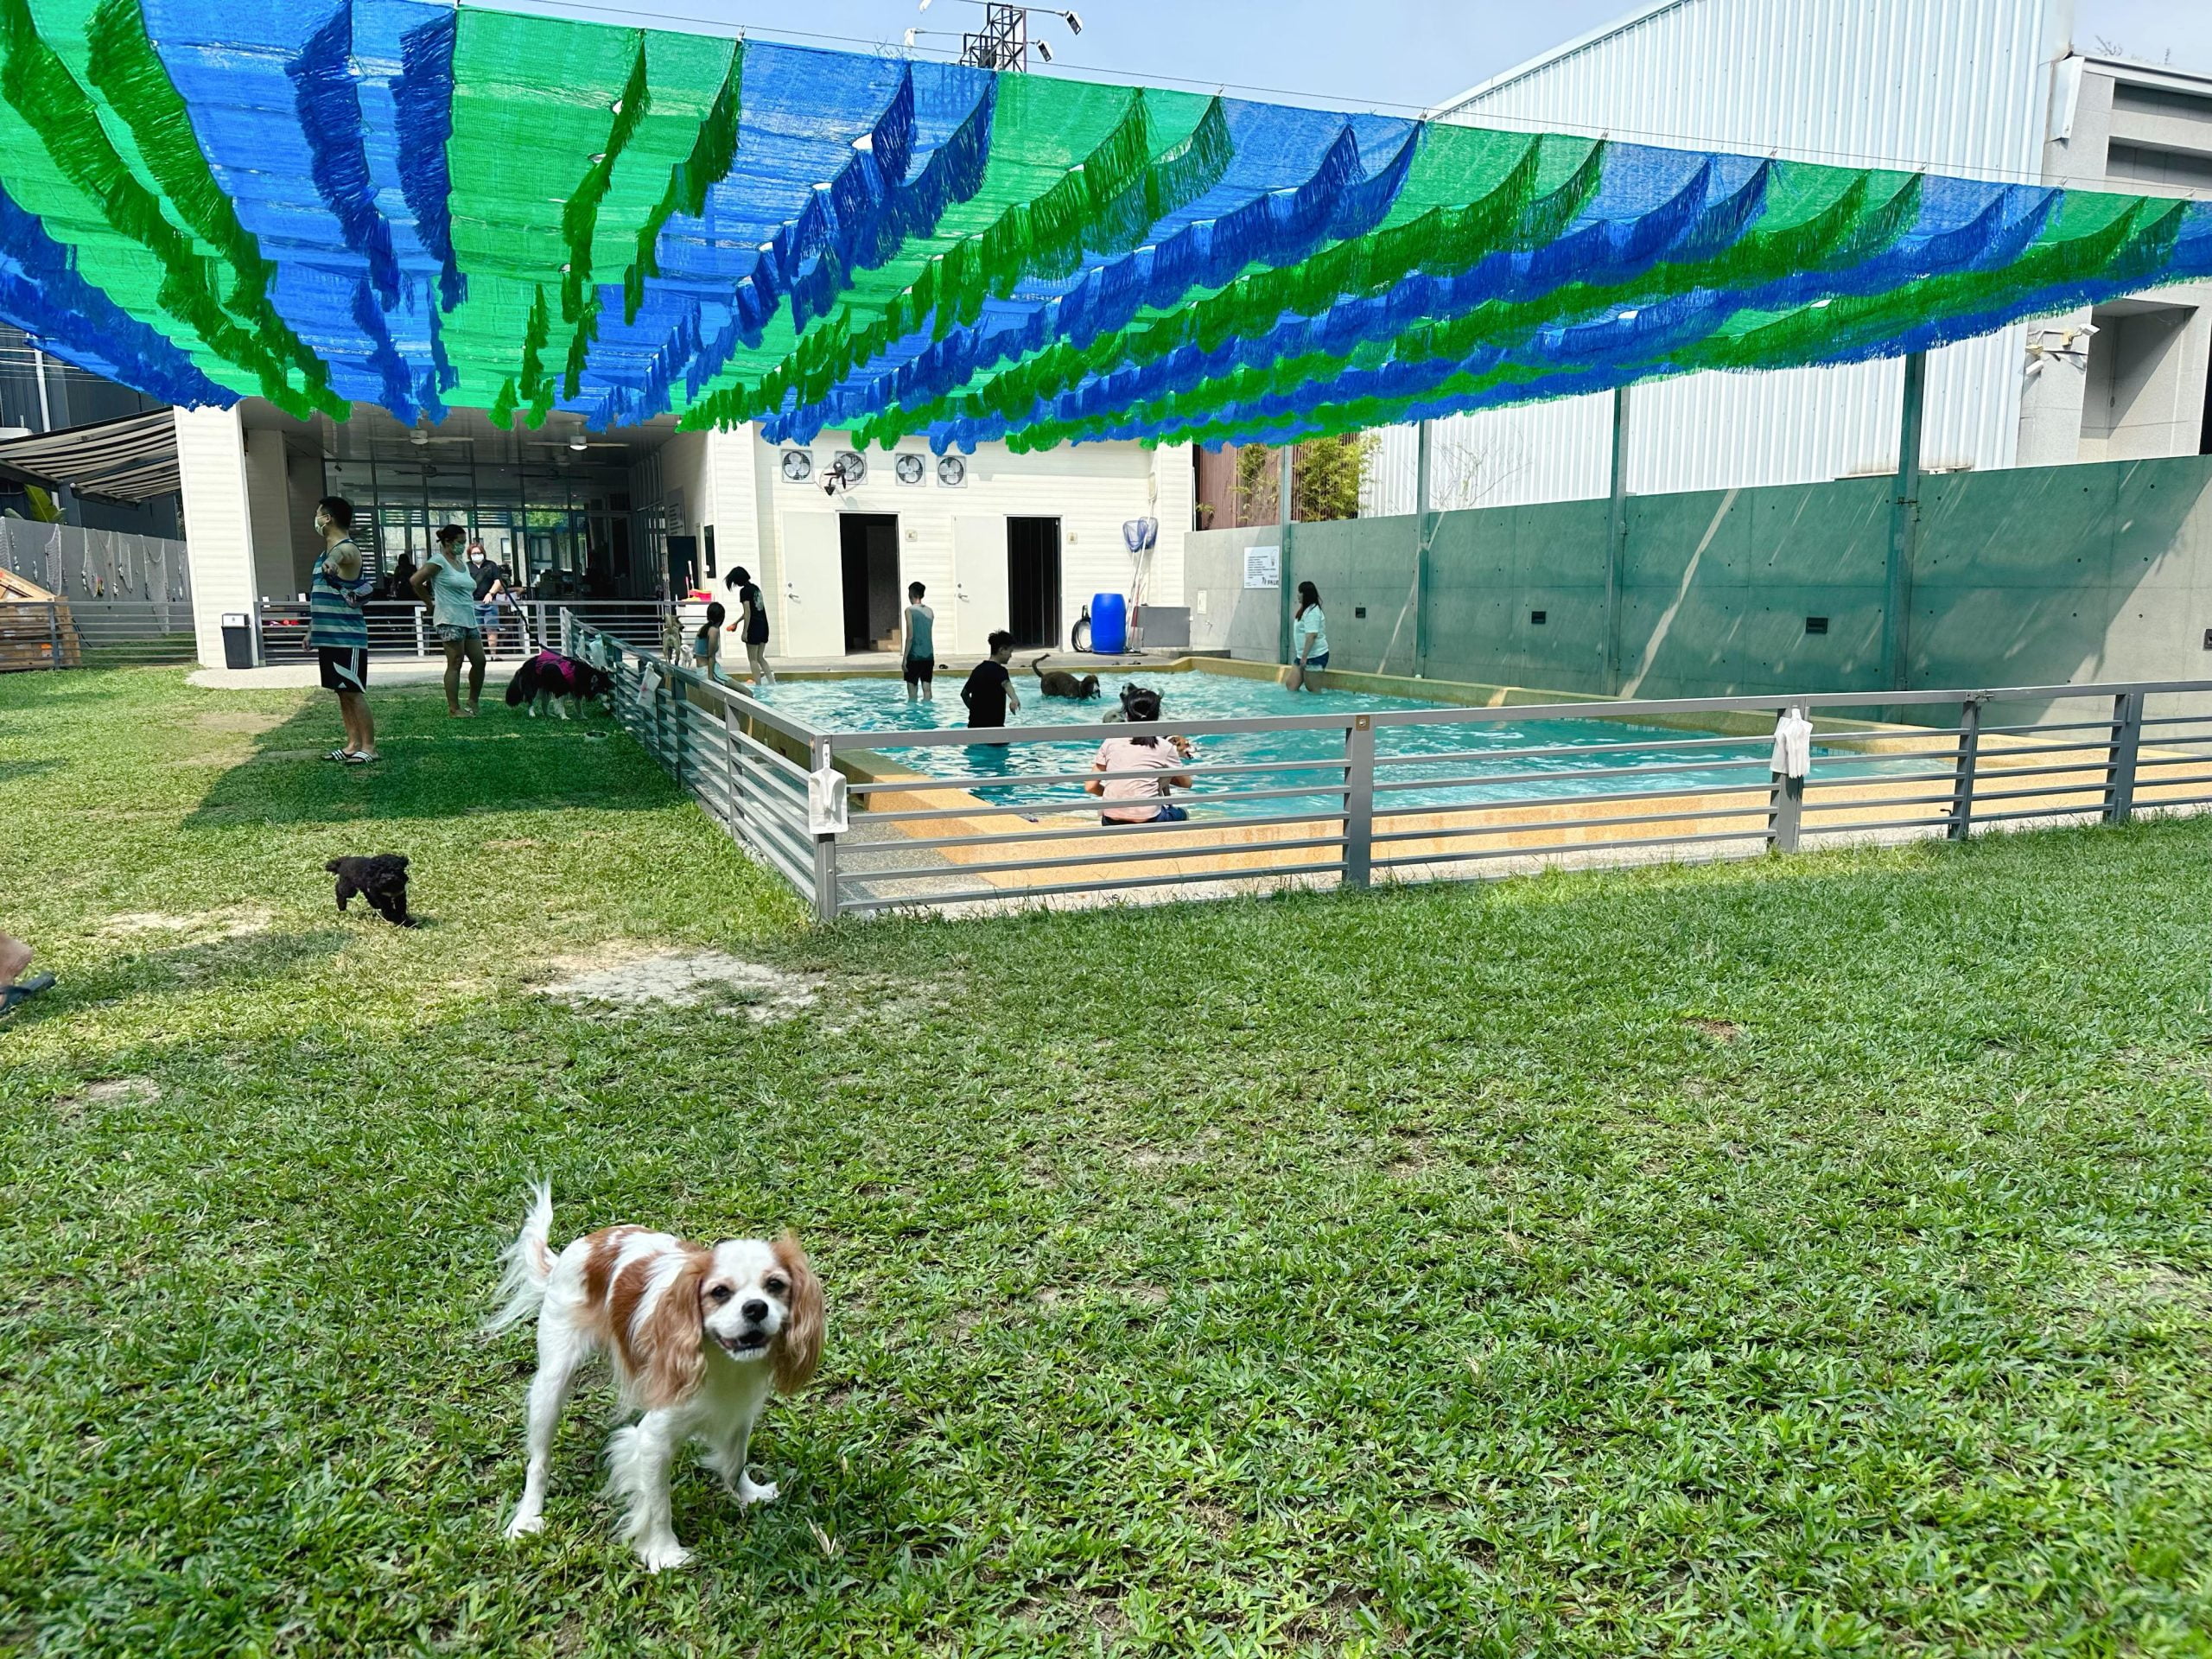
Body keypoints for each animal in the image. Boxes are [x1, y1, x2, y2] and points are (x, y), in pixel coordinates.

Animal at [488, 1185, 827, 1574]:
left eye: (775, 1285)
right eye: (719, 1292)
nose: (756, 1307)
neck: (720, 1359)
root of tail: (587, 1243)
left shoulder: (738, 1413)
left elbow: (734, 1461)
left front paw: (746, 1494)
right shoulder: (652, 1439)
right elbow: (657, 1503)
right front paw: (664, 1552)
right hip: (552, 1382)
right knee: (539, 1459)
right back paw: (527, 1517)